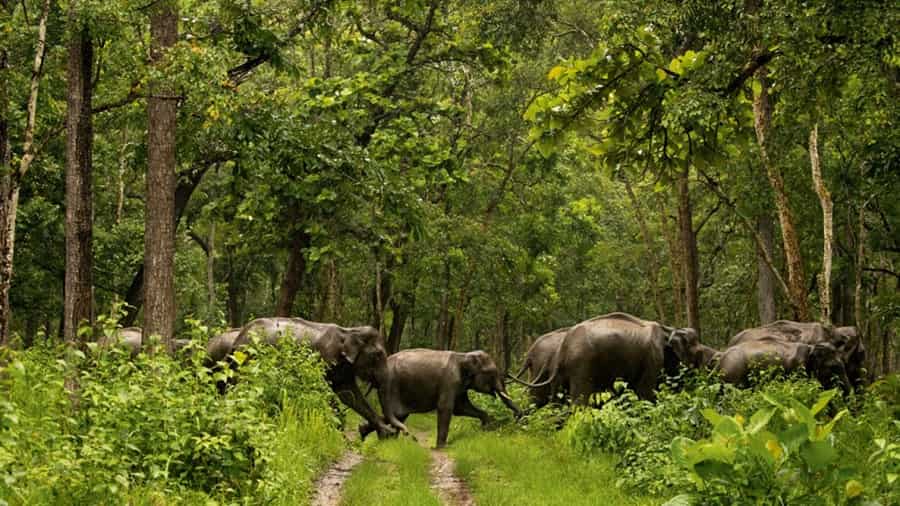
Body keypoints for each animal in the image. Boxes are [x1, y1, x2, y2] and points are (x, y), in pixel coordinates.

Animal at [230, 316, 400, 438]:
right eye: (378, 355)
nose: (392, 433)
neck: (349, 331)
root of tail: (239, 336)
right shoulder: (323, 359)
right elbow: (324, 391)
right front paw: (338, 433)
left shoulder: (343, 369)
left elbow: (349, 395)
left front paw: (385, 432)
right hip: (248, 358)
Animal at [358, 348, 520, 446]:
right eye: (491, 373)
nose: (517, 416)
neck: (463, 355)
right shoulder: (449, 381)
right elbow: (446, 408)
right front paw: (441, 447)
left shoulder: (459, 386)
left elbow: (461, 408)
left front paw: (487, 425)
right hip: (391, 387)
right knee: (396, 414)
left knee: (398, 415)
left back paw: (368, 434)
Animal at [510, 312, 700, 404]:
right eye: (696, 351)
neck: (668, 329)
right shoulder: (652, 359)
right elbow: (645, 392)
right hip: (581, 366)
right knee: (578, 400)